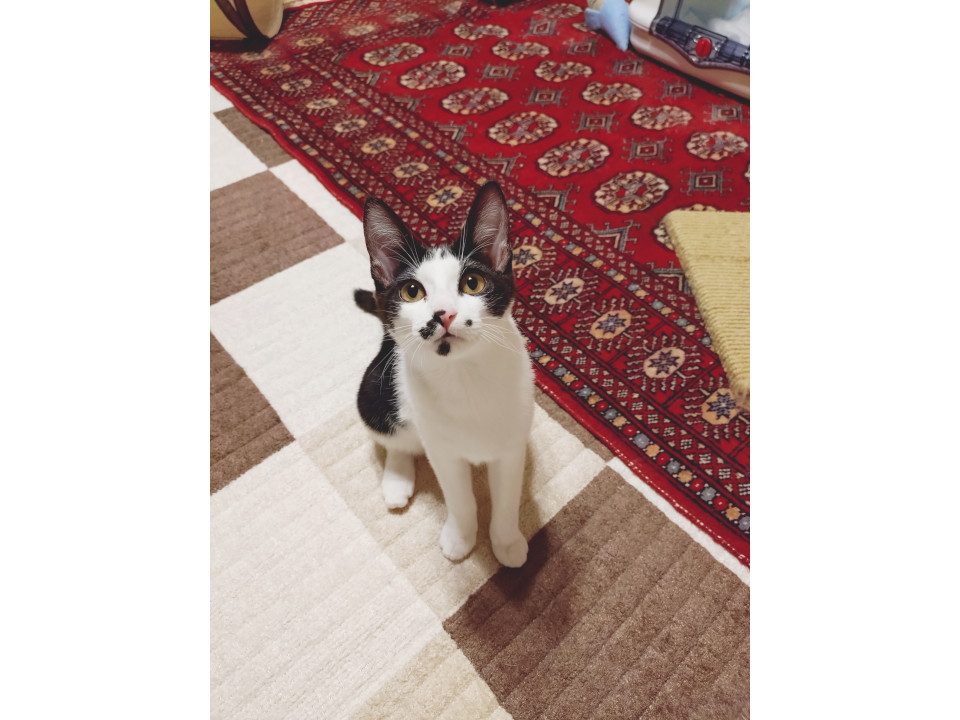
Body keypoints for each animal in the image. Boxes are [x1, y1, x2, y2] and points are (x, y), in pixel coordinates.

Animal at [354, 181, 534, 568]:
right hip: (375, 391)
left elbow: (508, 496)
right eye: (412, 291)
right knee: (394, 436)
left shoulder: (512, 445)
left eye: (472, 282)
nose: (444, 314)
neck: (464, 375)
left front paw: (507, 541)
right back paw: (397, 480)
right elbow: (460, 498)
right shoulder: (443, 452)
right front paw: (461, 538)